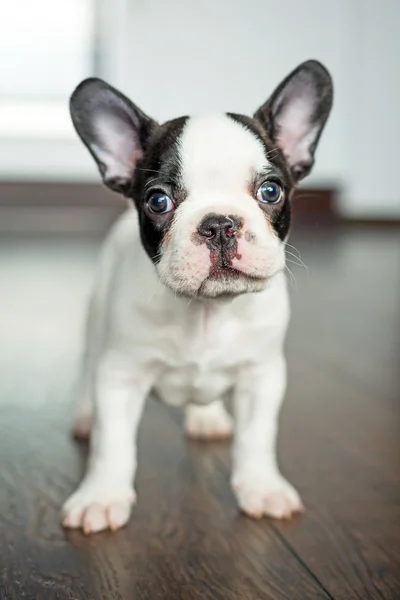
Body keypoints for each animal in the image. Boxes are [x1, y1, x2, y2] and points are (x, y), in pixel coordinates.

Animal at [61, 61, 332, 536]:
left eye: (271, 191)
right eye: (157, 201)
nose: (219, 224)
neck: (208, 313)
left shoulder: (262, 376)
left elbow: (257, 437)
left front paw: (262, 487)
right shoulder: (120, 375)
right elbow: (113, 445)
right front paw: (102, 496)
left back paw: (207, 417)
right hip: (95, 328)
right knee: (87, 368)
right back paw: (84, 416)